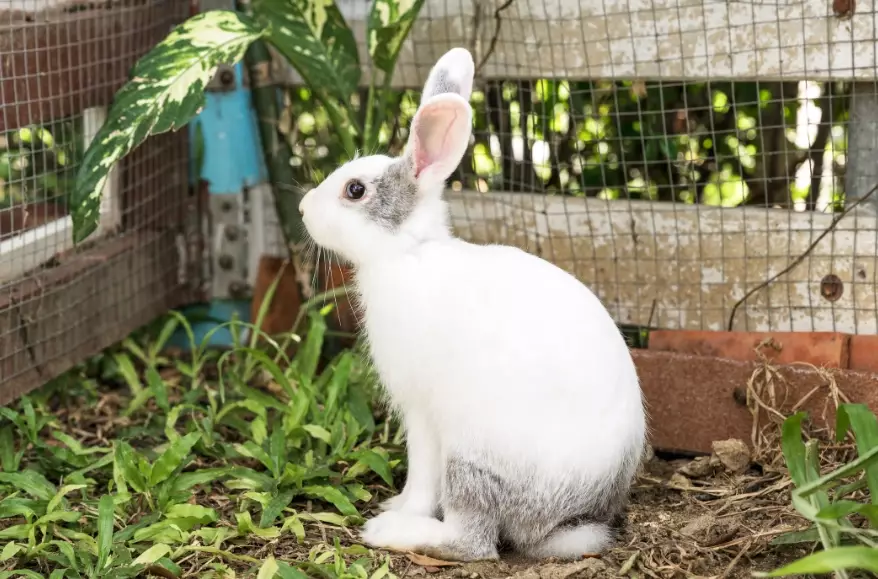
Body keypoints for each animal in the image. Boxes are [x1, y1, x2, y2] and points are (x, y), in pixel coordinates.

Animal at [297, 47, 648, 562]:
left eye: (355, 190)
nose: (303, 208)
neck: (409, 252)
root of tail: (566, 521)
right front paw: (395, 502)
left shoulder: (422, 414)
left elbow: (422, 476)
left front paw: (402, 510)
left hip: (472, 459)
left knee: (475, 542)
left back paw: (391, 532)